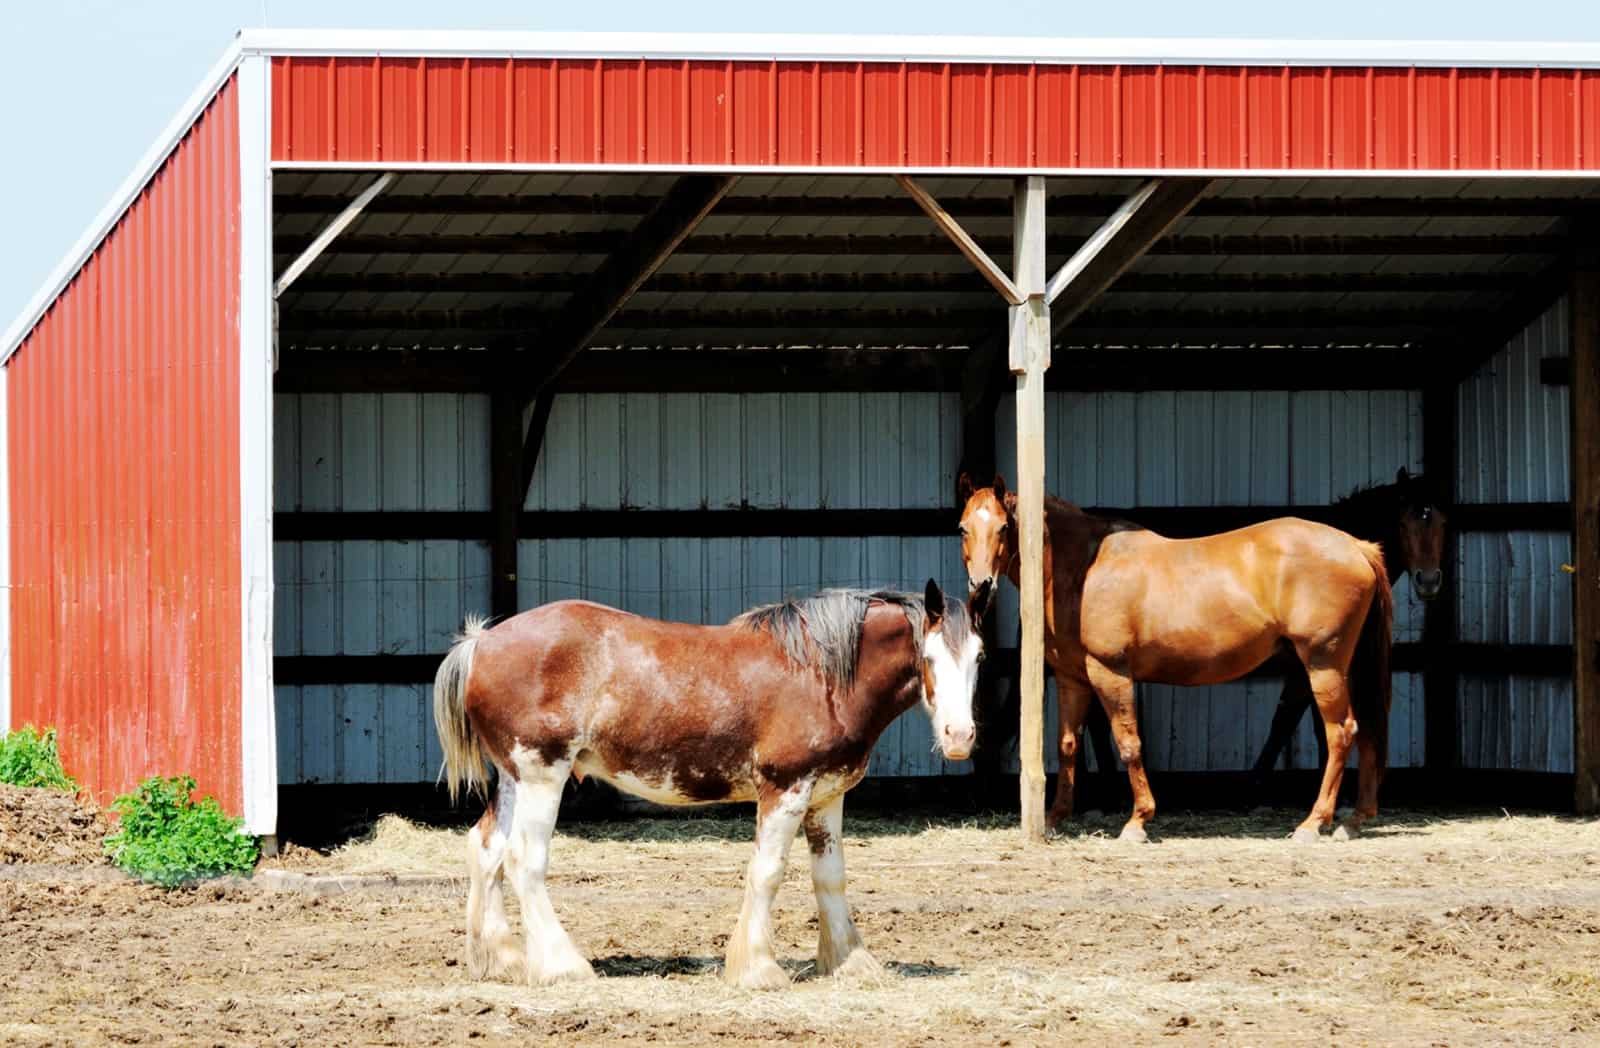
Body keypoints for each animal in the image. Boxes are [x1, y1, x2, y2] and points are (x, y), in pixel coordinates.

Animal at [432, 581, 983, 991]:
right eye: (929, 656)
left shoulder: (826, 796)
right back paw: (562, 965)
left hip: (514, 779)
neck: (819, 674)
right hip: (543, 775)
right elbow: (767, 874)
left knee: (486, 849)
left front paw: (849, 962)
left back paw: (502, 960)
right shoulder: (785, 791)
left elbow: (830, 878)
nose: (959, 736)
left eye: (978, 656)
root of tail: (481, 642)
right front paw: (759, 970)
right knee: (525, 860)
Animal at [957, 474, 1392, 843]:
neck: (1083, 569)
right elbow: (1067, 745)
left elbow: (1129, 742)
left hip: (1323, 664)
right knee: (1368, 729)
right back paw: (1354, 821)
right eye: (963, 528)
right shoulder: (1072, 678)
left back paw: (1313, 822)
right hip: (1349, 665)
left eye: (1003, 527)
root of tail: (1357, 547)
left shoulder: (1110, 672)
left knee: (1341, 733)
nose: (981, 586)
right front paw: (1055, 817)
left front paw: (1138, 821)